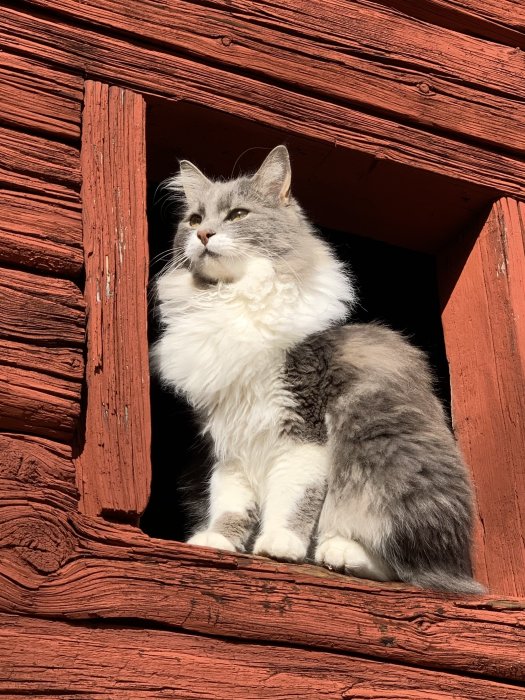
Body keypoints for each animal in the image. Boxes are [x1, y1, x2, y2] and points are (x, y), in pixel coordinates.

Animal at [149, 145, 482, 592]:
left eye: (237, 215)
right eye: (195, 220)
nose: (204, 236)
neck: (232, 301)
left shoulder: (302, 429)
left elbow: (293, 500)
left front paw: (279, 545)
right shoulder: (227, 437)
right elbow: (229, 502)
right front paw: (218, 541)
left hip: (382, 455)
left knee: (405, 569)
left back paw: (337, 553)